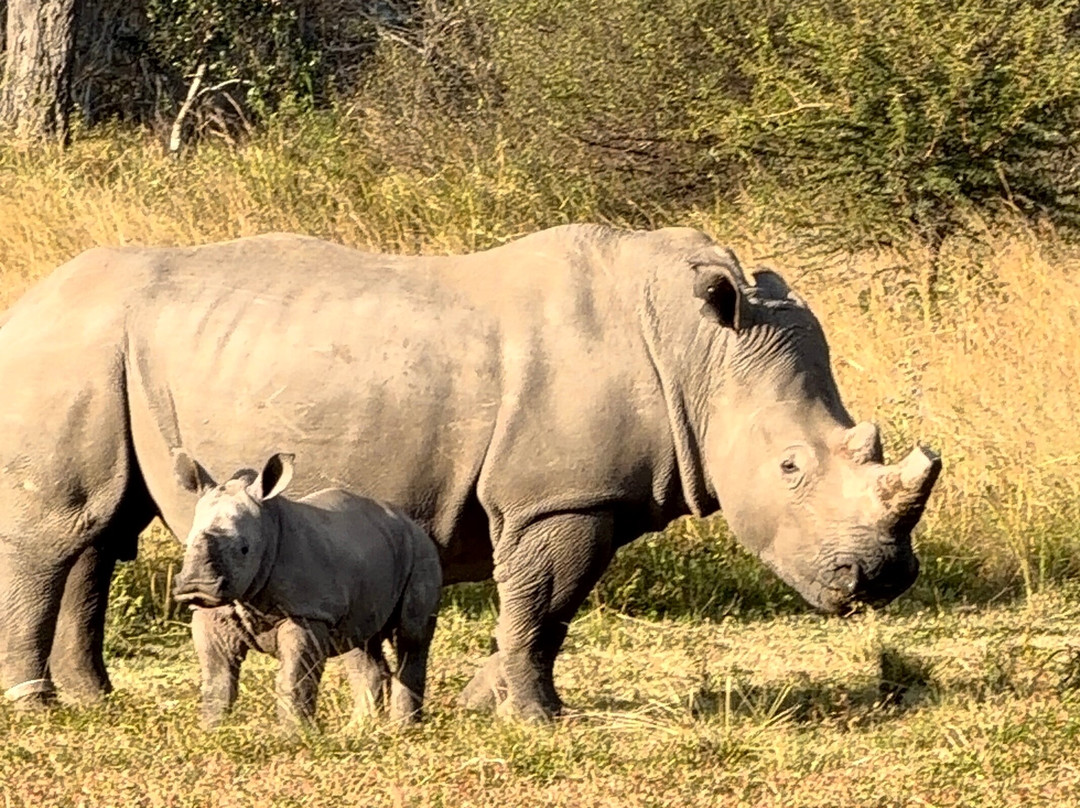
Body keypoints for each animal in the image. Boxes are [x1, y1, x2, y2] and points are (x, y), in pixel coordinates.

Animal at [170, 451, 441, 727]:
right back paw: (358, 728)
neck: (268, 526)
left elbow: (294, 678)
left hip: (421, 551)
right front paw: (210, 730)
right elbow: (217, 677)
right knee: (359, 643)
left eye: (244, 549)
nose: (195, 587)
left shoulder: (307, 611)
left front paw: (295, 734)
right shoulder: (214, 610)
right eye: (187, 544)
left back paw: (403, 728)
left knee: (411, 635)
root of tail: (411, 523)